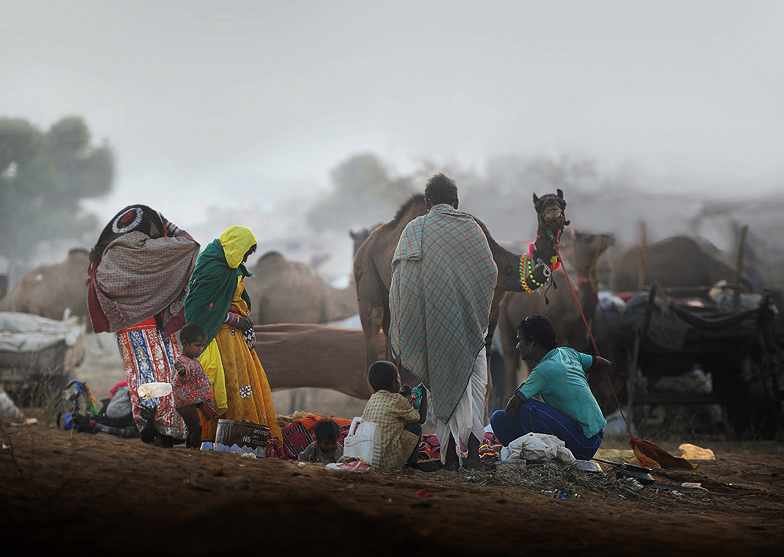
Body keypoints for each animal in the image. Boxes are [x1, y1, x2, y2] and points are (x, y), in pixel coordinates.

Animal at [352, 189, 568, 402]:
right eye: (538, 206)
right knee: (373, 320)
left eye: (562, 204)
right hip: (365, 272)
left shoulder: (493, 309)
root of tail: (365, 245)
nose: (552, 211)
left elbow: (486, 382)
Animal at [496, 231, 620, 400]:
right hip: (504, 322)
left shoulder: (579, 338)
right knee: (509, 355)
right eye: (588, 238)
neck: (574, 308)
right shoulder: (557, 334)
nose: (609, 237)